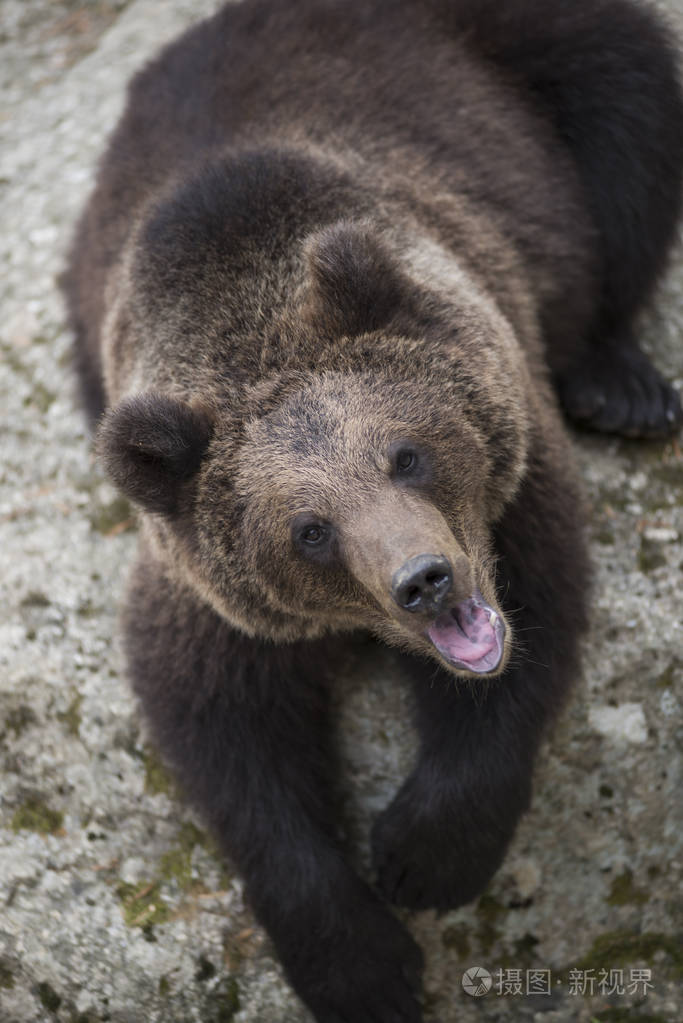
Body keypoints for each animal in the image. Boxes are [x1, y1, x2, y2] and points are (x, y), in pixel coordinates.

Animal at [62, 0, 683, 1020]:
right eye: (307, 529)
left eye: (406, 453)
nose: (423, 581)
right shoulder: (208, 592)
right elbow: (223, 735)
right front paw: (360, 963)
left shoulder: (509, 471)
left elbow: (535, 620)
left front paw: (425, 852)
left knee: (630, 126)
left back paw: (619, 384)